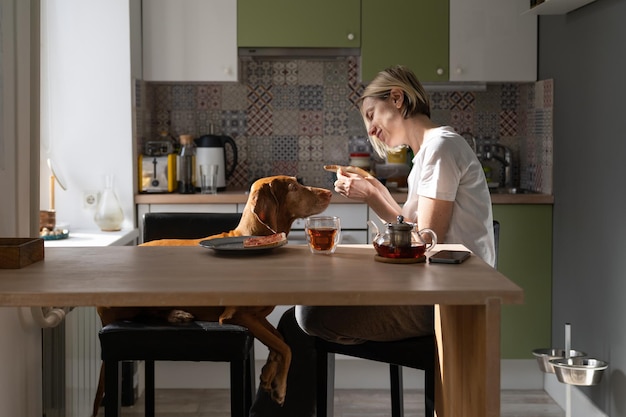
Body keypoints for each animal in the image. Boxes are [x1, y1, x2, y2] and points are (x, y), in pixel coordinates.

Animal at [91, 176, 332, 416]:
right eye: (293, 187)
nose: (330, 193)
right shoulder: (236, 316)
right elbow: (285, 347)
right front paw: (280, 387)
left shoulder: (257, 317)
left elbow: (280, 339)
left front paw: (268, 374)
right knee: (145, 314)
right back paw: (176, 314)